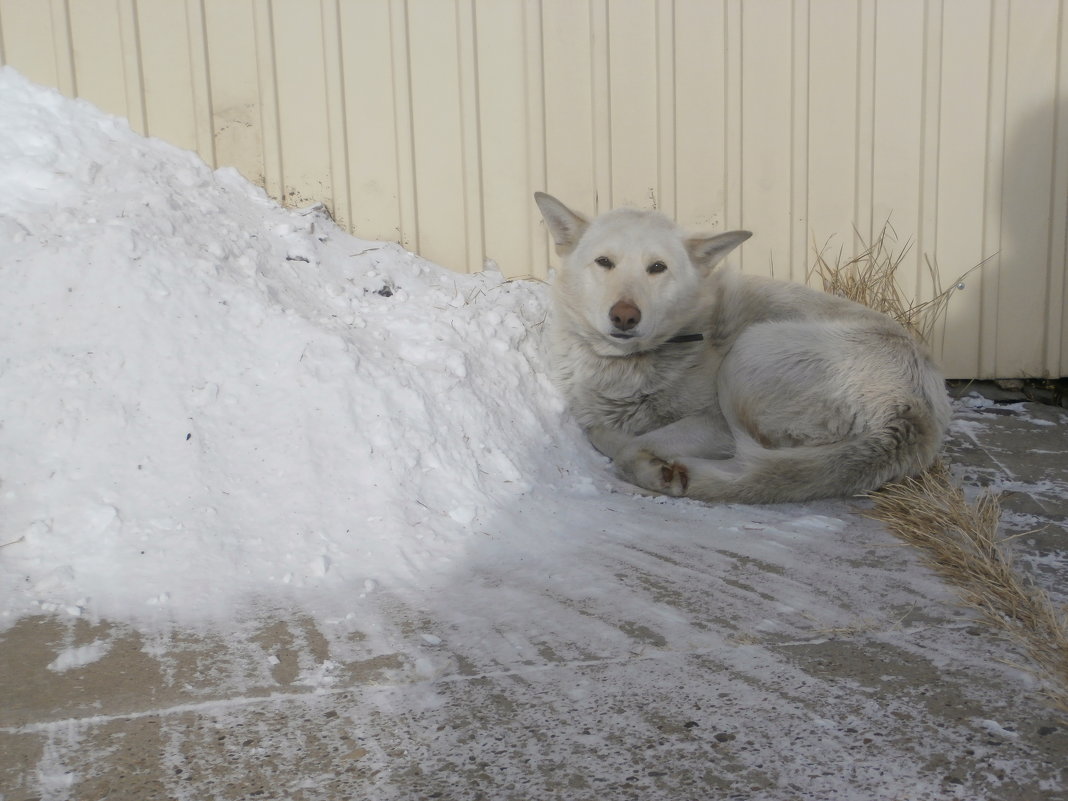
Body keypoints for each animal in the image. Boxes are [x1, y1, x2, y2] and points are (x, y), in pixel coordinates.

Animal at [534, 192, 952, 504]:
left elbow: (620, 440)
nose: (624, 316)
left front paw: (645, 455)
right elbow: (601, 429)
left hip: (749, 352)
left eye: (657, 268)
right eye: (604, 262)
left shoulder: (713, 424)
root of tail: (913, 413)